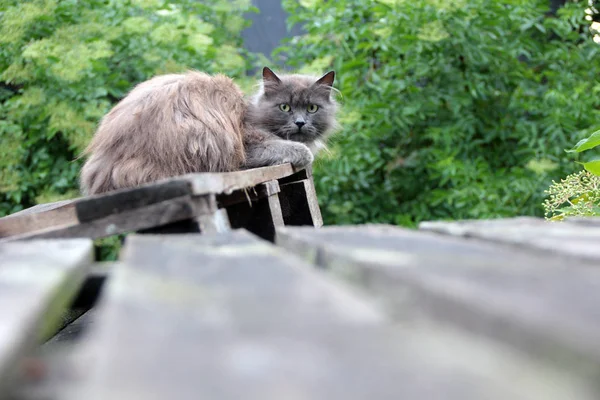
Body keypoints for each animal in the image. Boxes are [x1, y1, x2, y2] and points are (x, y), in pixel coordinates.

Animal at [80, 66, 340, 195]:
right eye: (285, 107)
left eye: (312, 108)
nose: (300, 122)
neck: (251, 112)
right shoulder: (249, 143)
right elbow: (294, 148)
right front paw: (304, 153)